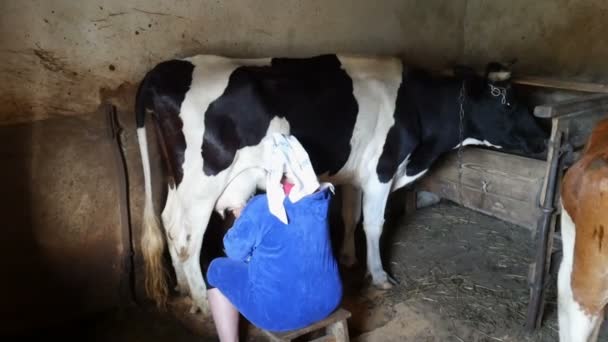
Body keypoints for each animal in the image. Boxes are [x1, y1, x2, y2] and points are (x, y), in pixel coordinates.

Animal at [134, 52, 548, 312]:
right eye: (506, 101)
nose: (544, 139)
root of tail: (163, 71)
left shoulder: (353, 172)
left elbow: (351, 215)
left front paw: (348, 258)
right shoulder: (382, 169)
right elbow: (374, 224)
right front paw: (379, 275)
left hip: (177, 178)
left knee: (168, 222)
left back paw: (183, 290)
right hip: (203, 182)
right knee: (185, 236)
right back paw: (203, 301)